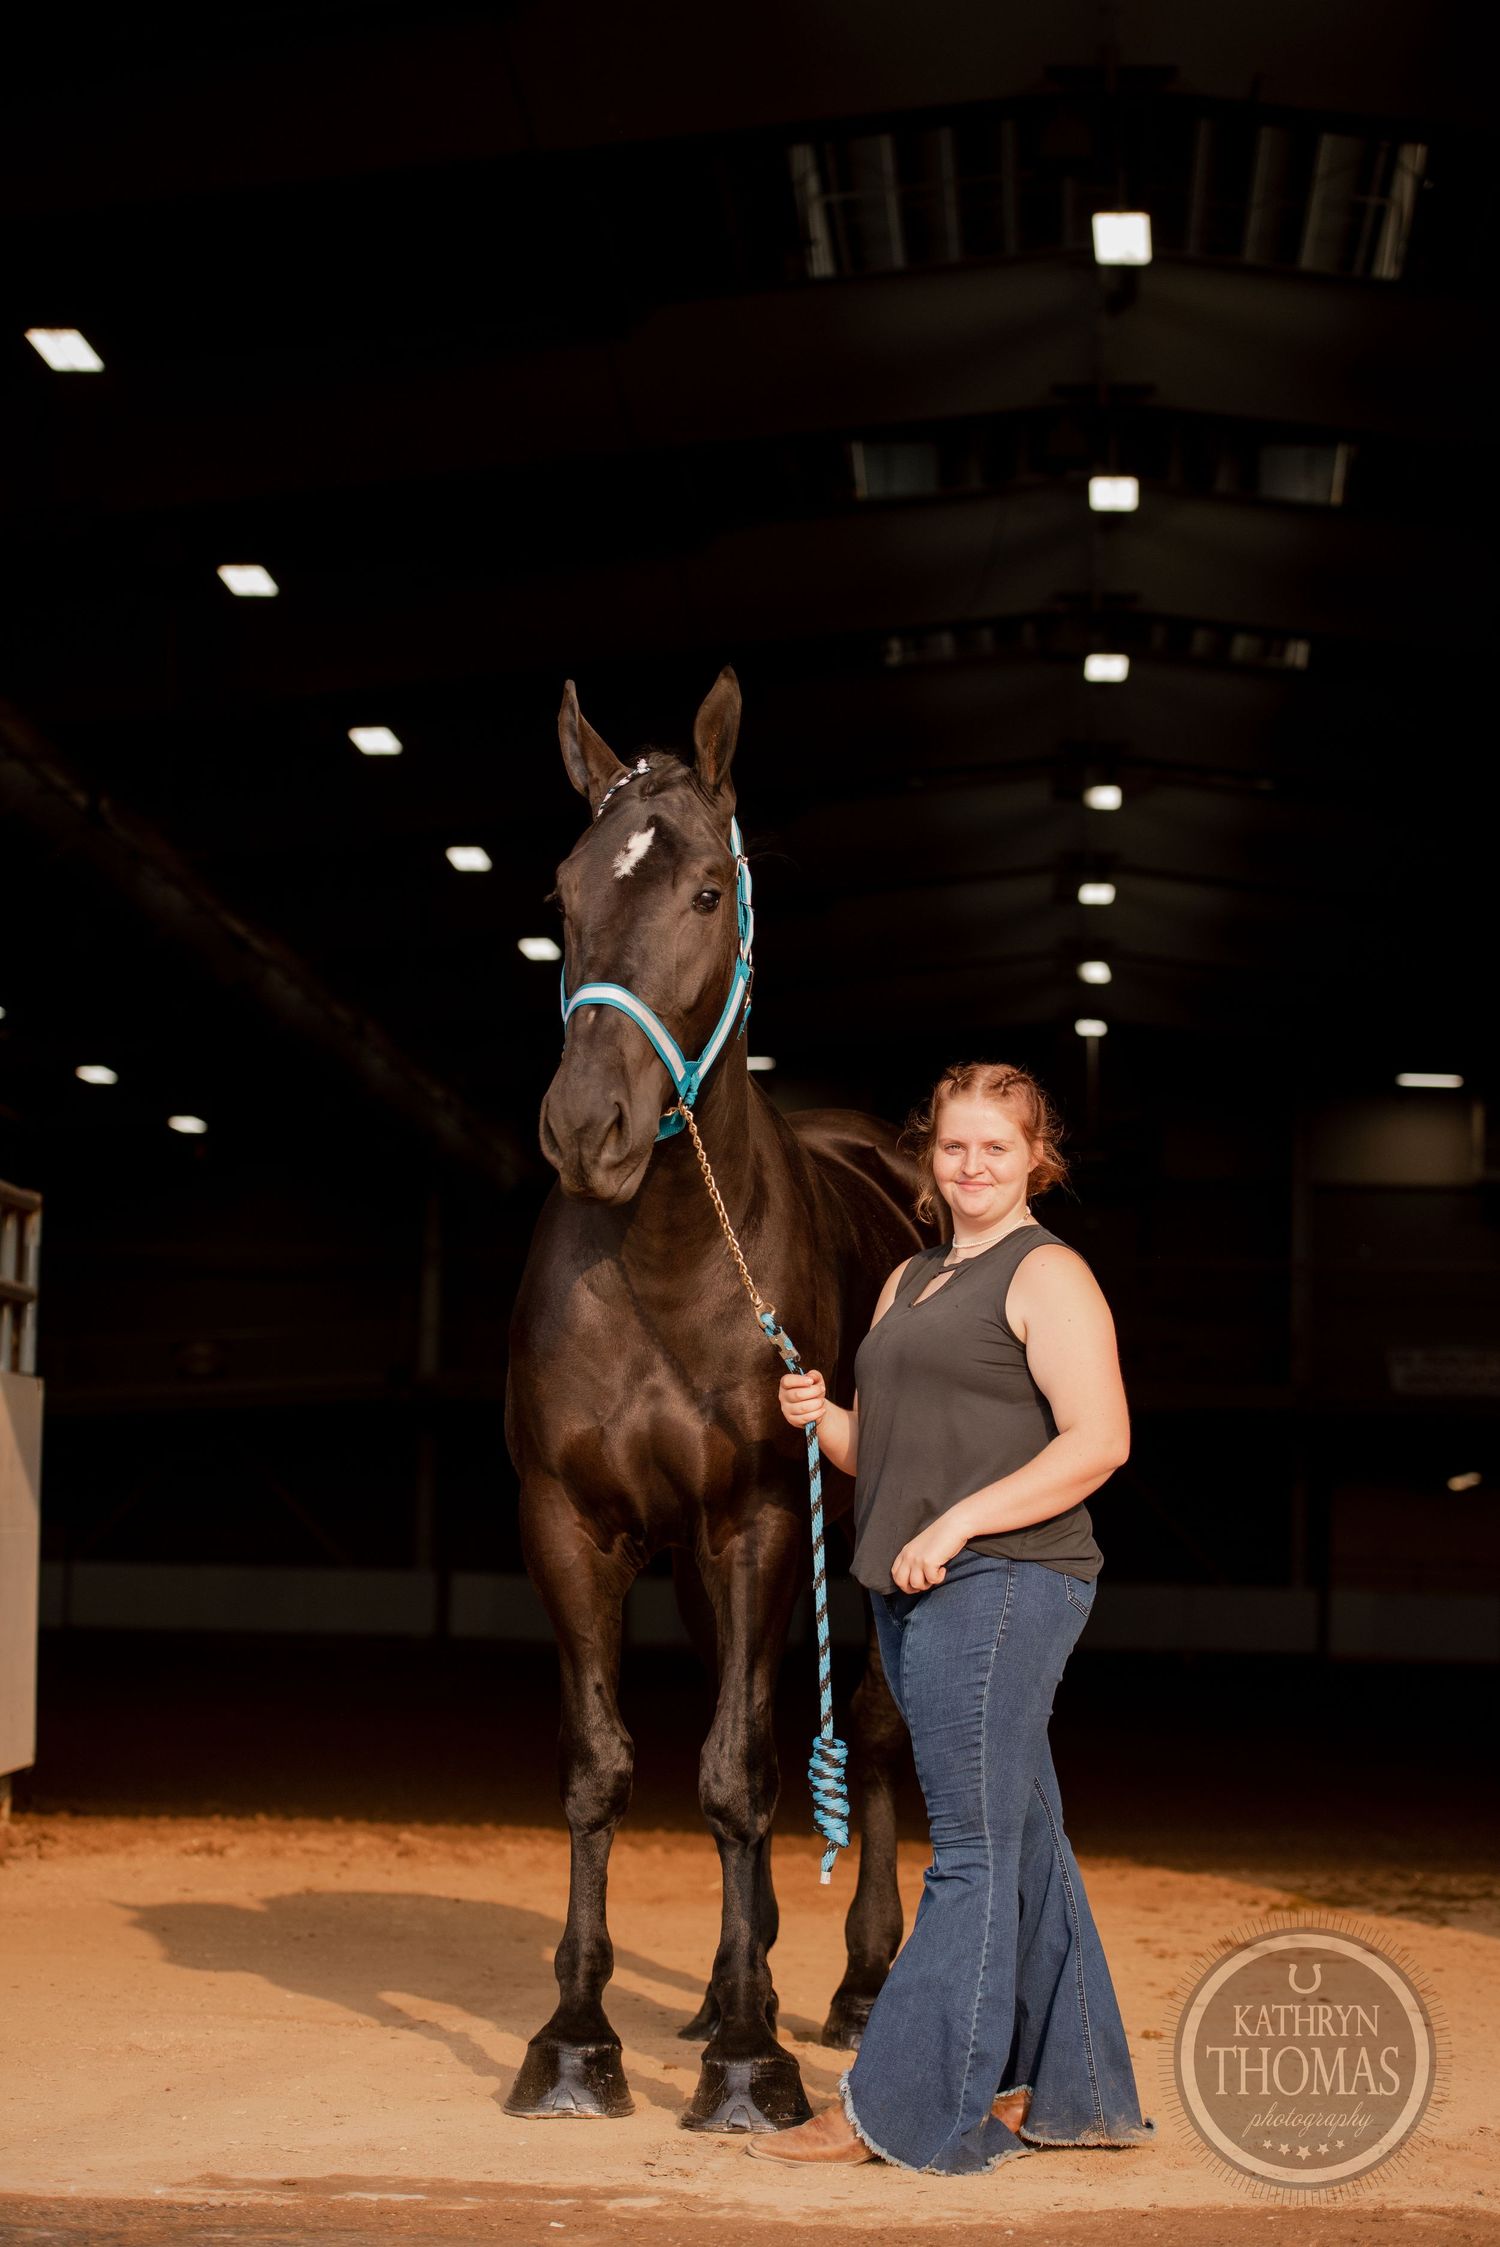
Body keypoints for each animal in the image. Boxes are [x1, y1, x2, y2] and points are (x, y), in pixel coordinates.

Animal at [503, 666, 926, 2132]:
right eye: (564, 890)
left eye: (702, 891)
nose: (588, 1130)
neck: (674, 1257)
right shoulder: (574, 1524)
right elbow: (601, 1764)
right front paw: (577, 2036)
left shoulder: (760, 1522)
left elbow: (742, 1773)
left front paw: (752, 2056)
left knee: (868, 1730)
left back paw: (857, 1986)